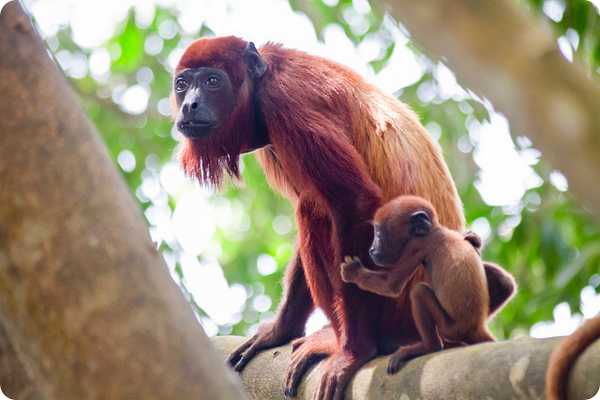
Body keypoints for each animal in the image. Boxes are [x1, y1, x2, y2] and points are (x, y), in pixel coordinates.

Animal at [340, 197, 500, 376]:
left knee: (419, 292)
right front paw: (472, 238)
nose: (372, 249)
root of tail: (476, 327)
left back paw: (429, 347)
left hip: (451, 329)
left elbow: (391, 286)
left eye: (379, 234)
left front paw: (353, 272)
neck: (435, 230)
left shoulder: (415, 246)